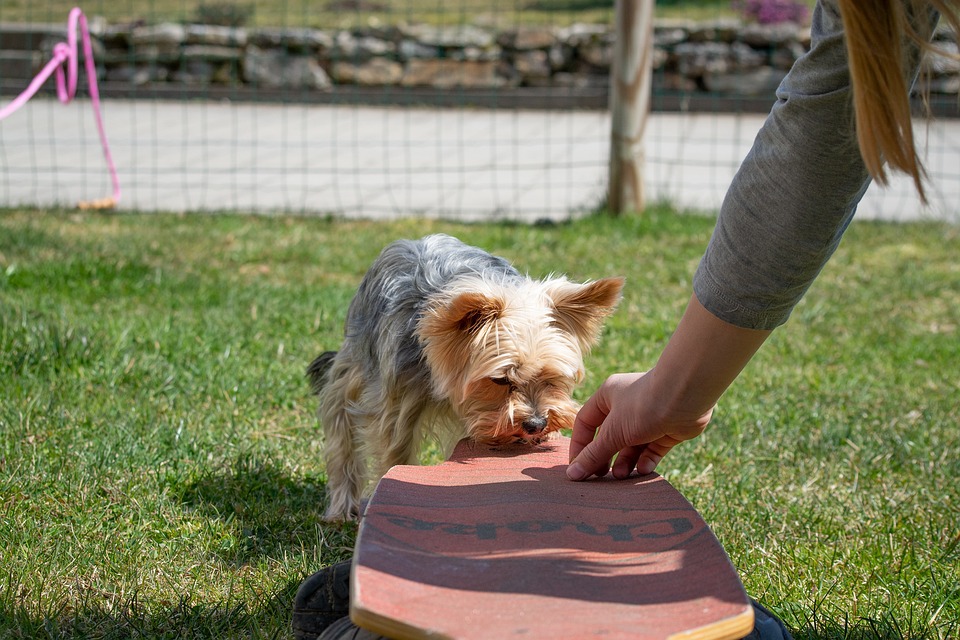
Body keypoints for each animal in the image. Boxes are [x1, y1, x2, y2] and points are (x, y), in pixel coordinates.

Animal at [308, 234, 624, 520]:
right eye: (500, 380)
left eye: (551, 377)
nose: (535, 424)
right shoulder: (399, 394)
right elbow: (396, 451)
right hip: (358, 361)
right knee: (340, 416)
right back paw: (342, 507)